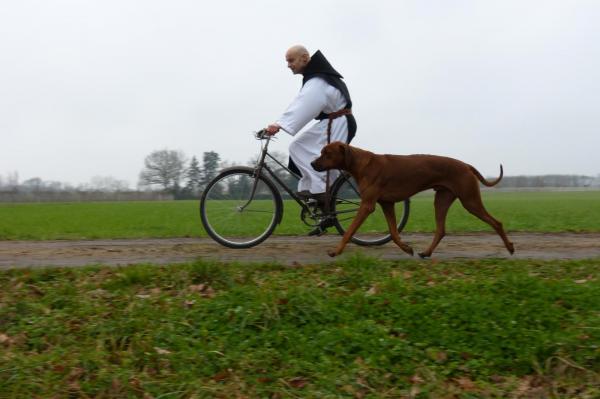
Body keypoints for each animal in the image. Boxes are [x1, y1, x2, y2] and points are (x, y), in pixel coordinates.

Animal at [312, 142, 512, 258]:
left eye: (327, 153)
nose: (313, 164)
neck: (361, 164)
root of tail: (466, 165)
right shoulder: (387, 204)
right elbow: (393, 233)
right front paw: (407, 248)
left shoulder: (367, 205)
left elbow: (349, 232)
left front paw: (336, 251)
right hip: (442, 199)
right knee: (441, 230)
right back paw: (426, 252)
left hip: (470, 200)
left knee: (497, 222)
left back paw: (510, 247)